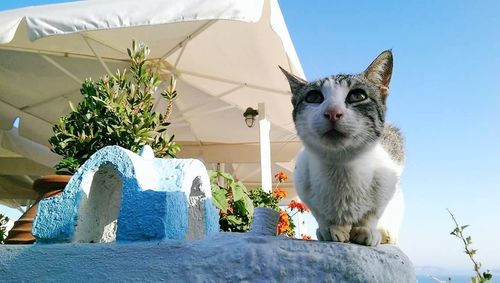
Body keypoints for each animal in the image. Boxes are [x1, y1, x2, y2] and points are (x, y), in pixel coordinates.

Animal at [280, 50, 404, 246]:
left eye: (358, 96)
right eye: (313, 97)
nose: (332, 112)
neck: (342, 169)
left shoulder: (390, 175)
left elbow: (373, 212)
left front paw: (366, 229)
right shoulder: (302, 181)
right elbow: (320, 214)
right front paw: (332, 228)